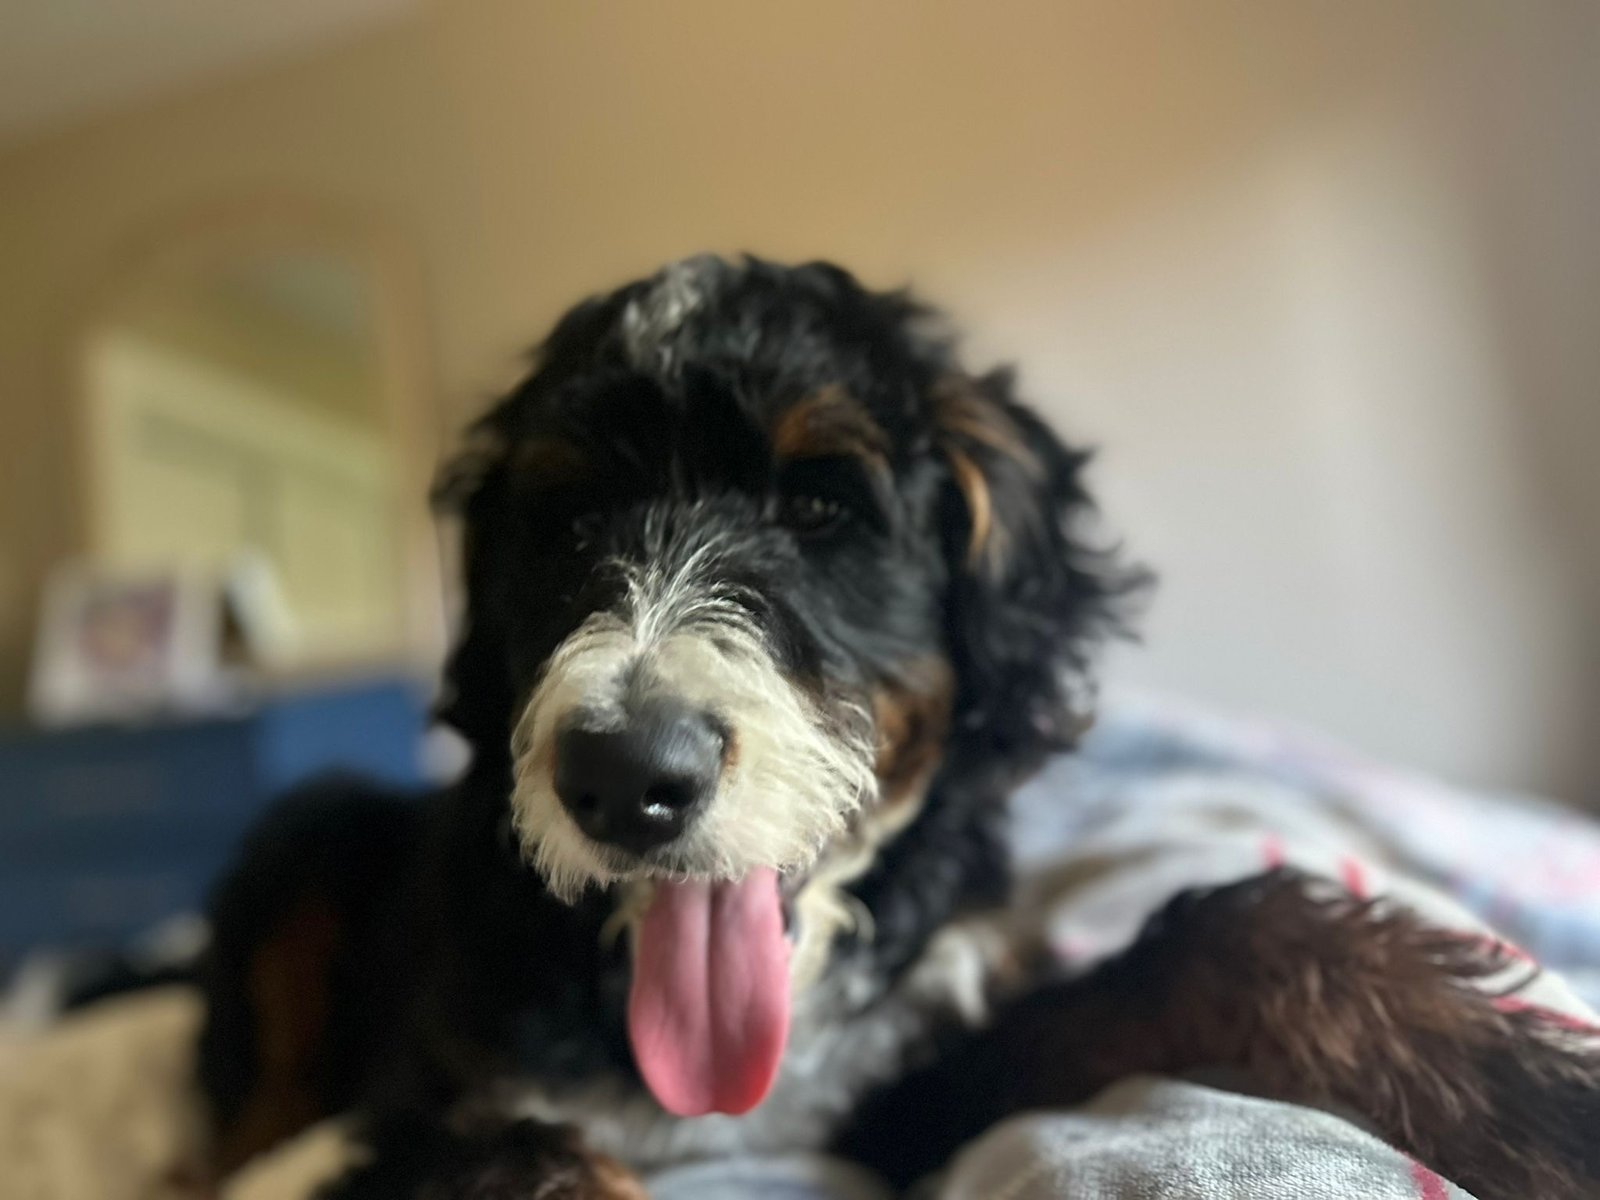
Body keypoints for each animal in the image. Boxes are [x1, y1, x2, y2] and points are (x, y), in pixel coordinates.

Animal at [198, 256, 1600, 1200]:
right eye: (568, 521)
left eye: (823, 507)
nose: (623, 776)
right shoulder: (438, 1100)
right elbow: (512, 1160)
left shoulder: (904, 1090)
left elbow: (1206, 953)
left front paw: (1529, 1098)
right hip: (304, 835)